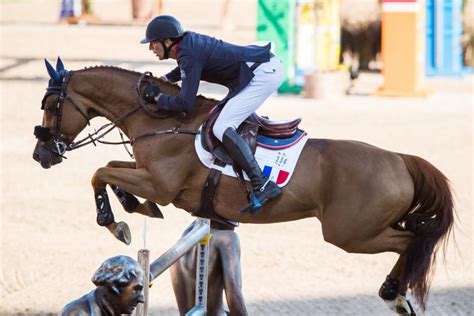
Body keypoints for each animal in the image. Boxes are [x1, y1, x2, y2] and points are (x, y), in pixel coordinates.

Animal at [33, 59, 456, 314]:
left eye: (50, 105)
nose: (41, 154)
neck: (160, 118)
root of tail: (400, 159)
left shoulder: (160, 184)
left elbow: (100, 173)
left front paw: (115, 221)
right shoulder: (146, 173)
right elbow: (108, 170)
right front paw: (131, 206)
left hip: (351, 234)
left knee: (411, 240)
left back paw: (395, 293)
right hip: (362, 230)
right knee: (415, 232)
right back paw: (394, 294)